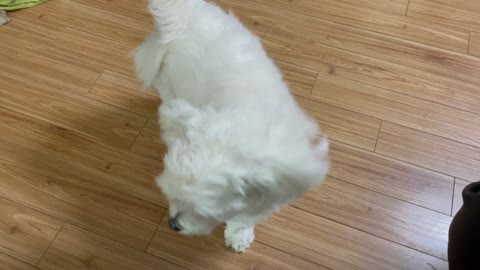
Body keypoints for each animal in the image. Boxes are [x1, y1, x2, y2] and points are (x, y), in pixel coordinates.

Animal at [135, 0, 330, 253]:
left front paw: (239, 233)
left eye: (203, 211)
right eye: (170, 194)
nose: (173, 224)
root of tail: (183, 14)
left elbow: (248, 215)